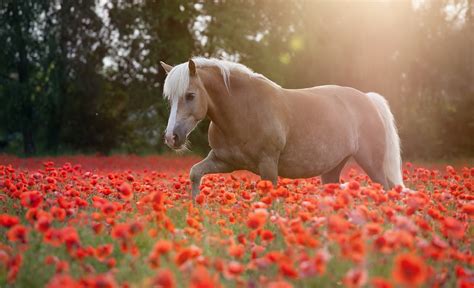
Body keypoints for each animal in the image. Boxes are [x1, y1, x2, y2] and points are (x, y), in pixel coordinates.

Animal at [160, 57, 404, 199]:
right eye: (170, 98)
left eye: (190, 95)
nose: (172, 137)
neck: (243, 110)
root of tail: (368, 99)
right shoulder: (224, 161)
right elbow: (194, 173)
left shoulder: (268, 165)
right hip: (332, 169)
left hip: (372, 164)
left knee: (386, 189)